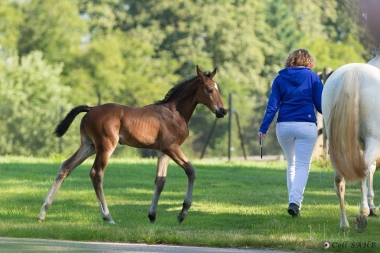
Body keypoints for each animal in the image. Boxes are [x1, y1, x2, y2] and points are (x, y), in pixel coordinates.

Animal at [322, 54, 380, 232]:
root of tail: (354, 72)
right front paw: (371, 207)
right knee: (363, 168)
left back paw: (344, 224)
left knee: (339, 181)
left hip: (336, 149)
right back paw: (363, 212)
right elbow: (370, 171)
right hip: (373, 142)